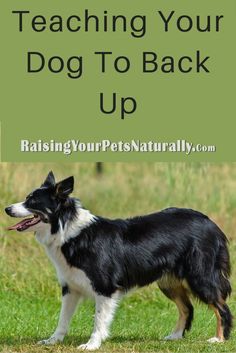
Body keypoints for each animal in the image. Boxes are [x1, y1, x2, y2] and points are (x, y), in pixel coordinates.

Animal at [5, 172, 232, 348]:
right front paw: (53, 341)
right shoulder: (70, 287)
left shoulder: (104, 287)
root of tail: (210, 222)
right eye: (26, 198)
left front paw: (92, 344)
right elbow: (62, 319)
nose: (7, 209)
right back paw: (175, 336)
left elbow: (98, 320)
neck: (67, 230)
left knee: (222, 307)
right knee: (187, 308)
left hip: (200, 277)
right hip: (168, 281)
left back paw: (219, 339)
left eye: (32, 202)